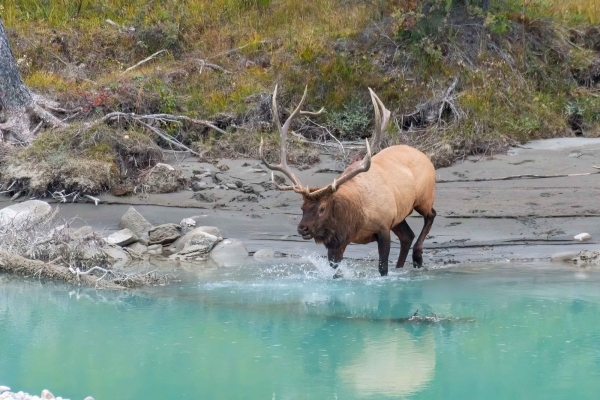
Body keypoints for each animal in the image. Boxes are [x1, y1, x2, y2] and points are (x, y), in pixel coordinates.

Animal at [258, 86, 436, 276]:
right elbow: (336, 272)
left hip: (424, 197)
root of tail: (424, 155)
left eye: (322, 208)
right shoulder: (337, 243)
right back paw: (402, 267)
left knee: (430, 215)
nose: (302, 228)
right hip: (399, 215)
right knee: (407, 236)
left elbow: (382, 268)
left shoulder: (383, 227)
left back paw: (417, 257)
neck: (355, 220)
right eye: (302, 207)